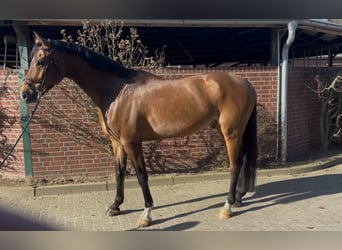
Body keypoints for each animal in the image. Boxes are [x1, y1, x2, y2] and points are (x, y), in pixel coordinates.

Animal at [20, 32, 256, 228]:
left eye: (40, 61)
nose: (25, 94)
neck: (116, 90)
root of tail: (244, 81)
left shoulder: (131, 142)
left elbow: (142, 176)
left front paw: (146, 214)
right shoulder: (117, 143)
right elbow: (119, 173)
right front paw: (115, 206)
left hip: (231, 132)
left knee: (234, 165)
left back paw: (227, 207)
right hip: (234, 132)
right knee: (242, 162)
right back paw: (238, 199)